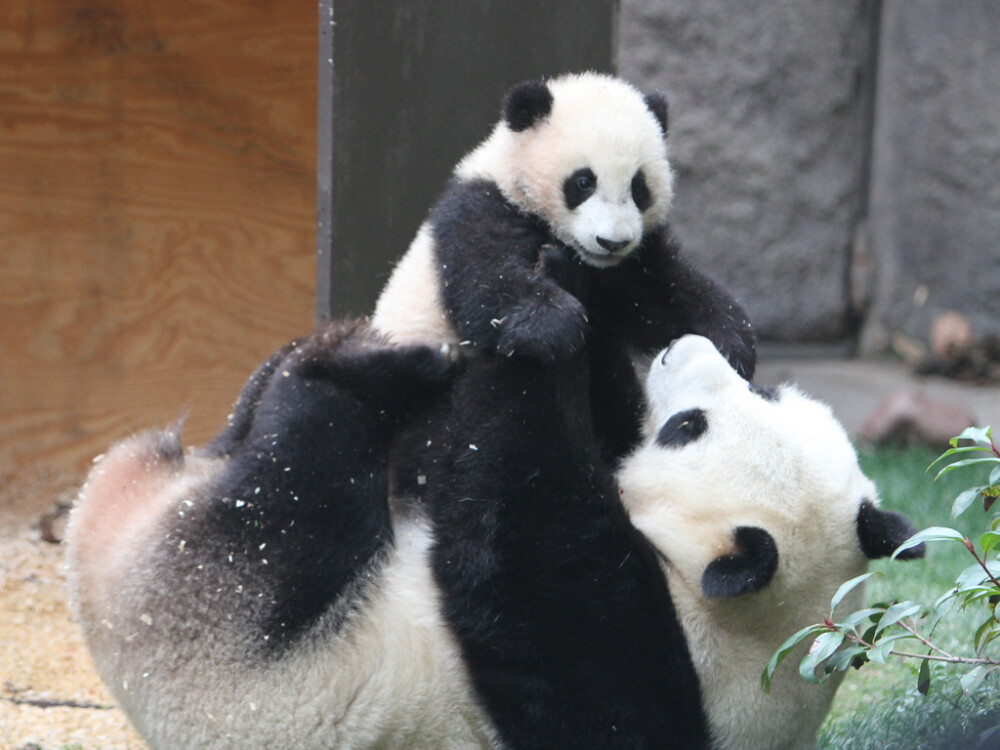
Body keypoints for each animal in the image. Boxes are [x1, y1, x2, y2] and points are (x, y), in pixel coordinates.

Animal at [64, 324, 920, 750]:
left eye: (687, 428)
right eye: (765, 388)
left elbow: (518, 537)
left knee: (295, 478)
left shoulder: (629, 665)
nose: (685, 345)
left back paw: (354, 368)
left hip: (229, 620)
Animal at [372, 73, 752, 462]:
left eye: (639, 187)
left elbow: (660, 297)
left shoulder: (630, 263)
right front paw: (555, 324)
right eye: (584, 182)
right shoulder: (482, 208)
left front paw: (729, 342)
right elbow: (486, 284)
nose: (612, 242)